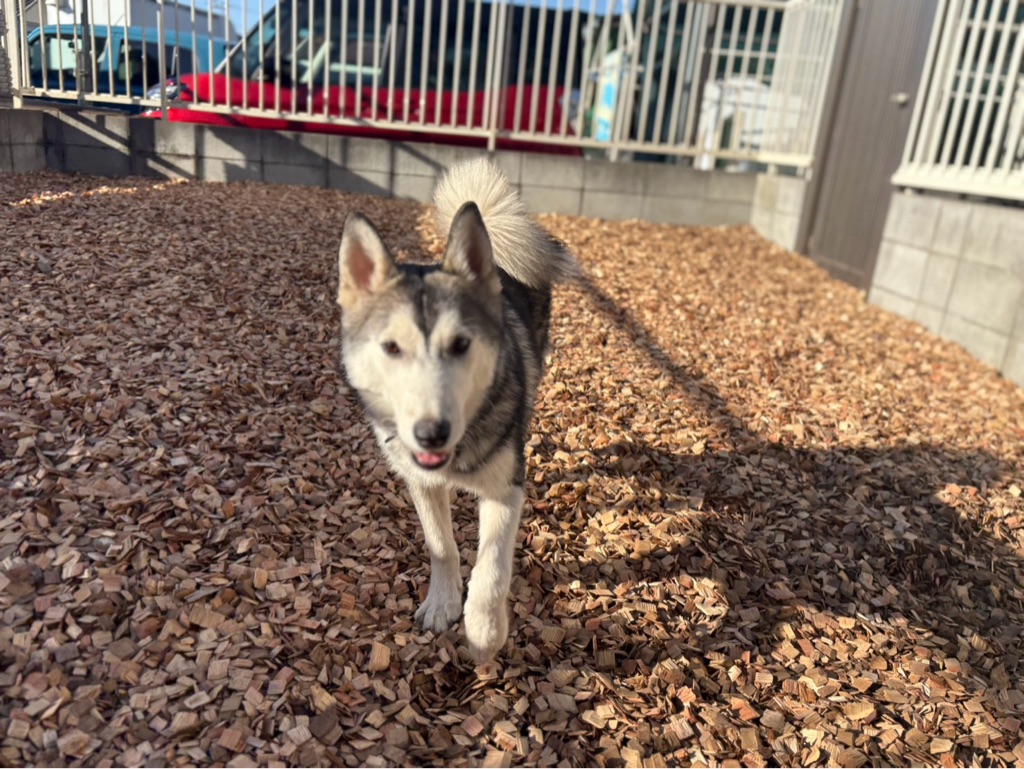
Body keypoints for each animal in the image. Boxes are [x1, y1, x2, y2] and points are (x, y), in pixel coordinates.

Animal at [335, 158, 576, 661]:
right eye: (392, 348)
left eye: (461, 344)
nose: (431, 432)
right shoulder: (421, 481)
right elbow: (442, 545)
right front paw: (442, 604)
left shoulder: (505, 489)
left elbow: (492, 567)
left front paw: (484, 632)